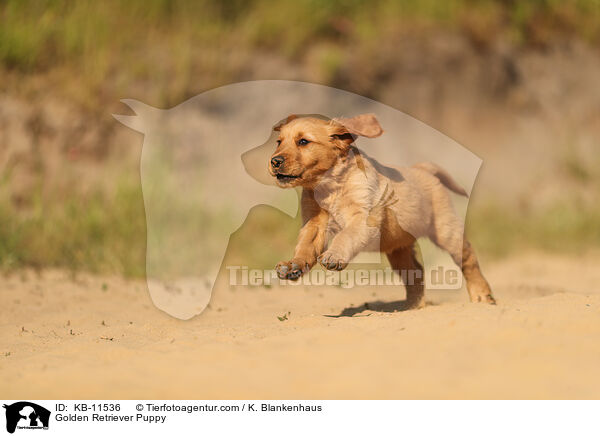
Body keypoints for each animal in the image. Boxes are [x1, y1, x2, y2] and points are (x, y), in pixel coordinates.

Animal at [270, 114, 494, 308]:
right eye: (279, 142)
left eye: (303, 142)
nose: (274, 161)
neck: (329, 188)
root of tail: (423, 169)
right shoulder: (314, 224)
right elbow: (305, 246)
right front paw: (293, 265)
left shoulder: (363, 219)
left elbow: (345, 236)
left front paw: (334, 256)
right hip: (398, 247)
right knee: (416, 272)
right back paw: (413, 306)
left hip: (446, 230)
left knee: (468, 260)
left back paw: (482, 296)